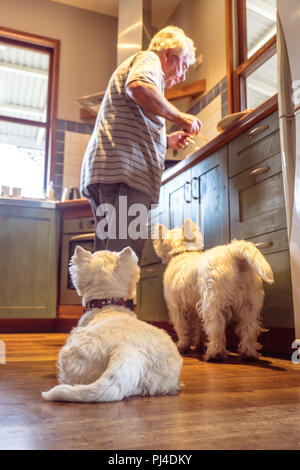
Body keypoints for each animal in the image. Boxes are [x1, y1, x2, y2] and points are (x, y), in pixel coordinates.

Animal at [154, 218, 274, 362]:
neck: (181, 253)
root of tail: (233, 252)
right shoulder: (195, 308)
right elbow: (199, 328)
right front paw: (199, 345)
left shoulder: (176, 307)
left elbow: (182, 328)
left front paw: (182, 346)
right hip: (250, 304)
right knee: (249, 328)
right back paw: (248, 354)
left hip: (212, 303)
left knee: (217, 328)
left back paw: (215, 354)